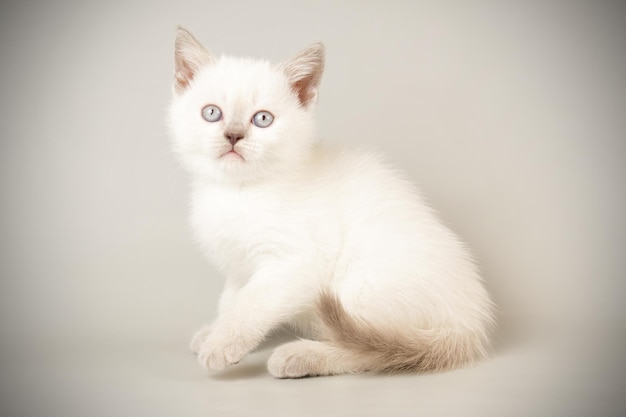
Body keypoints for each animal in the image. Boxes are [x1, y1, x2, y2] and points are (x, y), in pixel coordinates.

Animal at [168, 26, 494, 376]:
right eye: (212, 113)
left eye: (263, 119)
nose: (233, 135)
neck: (239, 190)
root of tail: (468, 325)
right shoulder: (238, 267)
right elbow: (230, 301)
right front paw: (214, 332)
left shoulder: (297, 263)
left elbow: (251, 303)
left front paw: (221, 344)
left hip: (361, 282)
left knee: (374, 351)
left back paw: (300, 356)